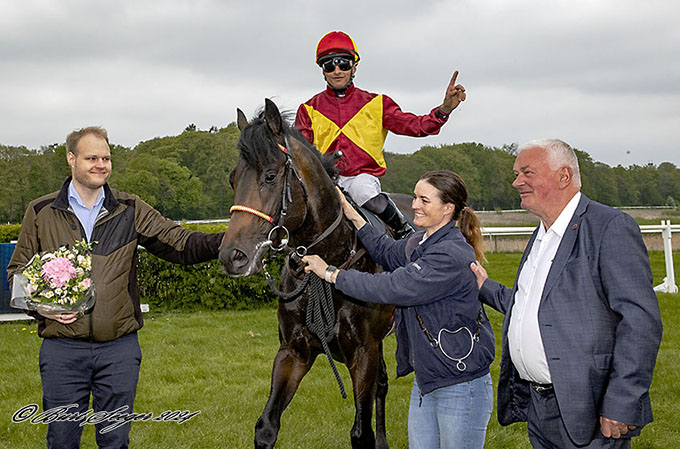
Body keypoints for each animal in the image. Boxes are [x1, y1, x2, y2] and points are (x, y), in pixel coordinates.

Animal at [220, 100, 394, 446]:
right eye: (233, 179)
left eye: (270, 176)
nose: (232, 256)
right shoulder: (293, 352)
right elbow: (267, 425)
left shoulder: (363, 352)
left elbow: (361, 432)